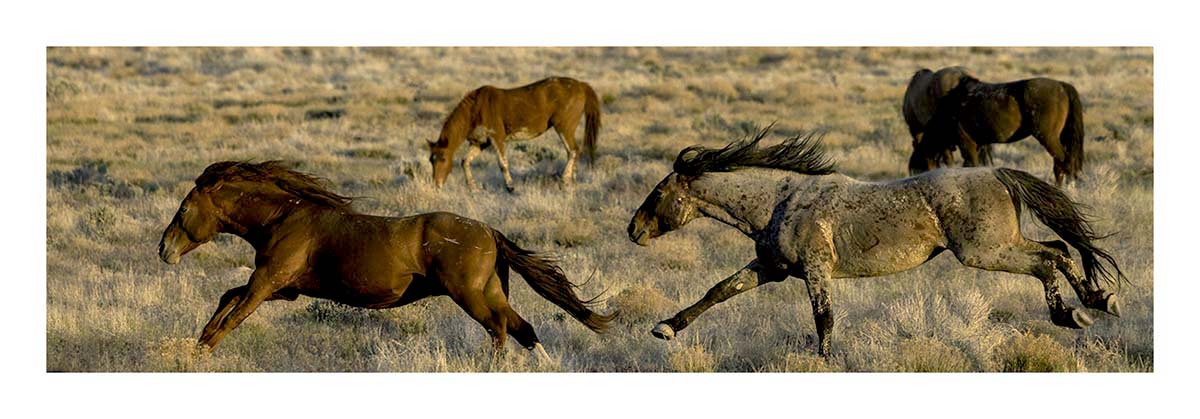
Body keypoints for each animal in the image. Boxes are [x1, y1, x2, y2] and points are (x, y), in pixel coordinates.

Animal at [157, 161, 614, 360]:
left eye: (183, 209)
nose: (164, 250)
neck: (282, 218)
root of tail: (489, 232)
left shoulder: (268, 281)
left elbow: (234, 312)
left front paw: (201, 351)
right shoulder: (284, 289)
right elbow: (227, 297)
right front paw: (199, 340)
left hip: (469, 295)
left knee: (500, 329)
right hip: (492, 291)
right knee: (523, 328)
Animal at [428, 76, 602, 192]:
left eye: (443, 158)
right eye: (431, 160)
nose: (436, 184)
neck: (476, 109)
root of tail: (581, 85)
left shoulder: (496, 137)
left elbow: (502, 163)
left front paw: (510, 187)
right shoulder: (481, 143)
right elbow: (465, 161)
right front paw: (473, 188)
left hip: (564, 127)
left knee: (573, 150)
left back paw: (564, 182)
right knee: (574, 151)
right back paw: (572, 181)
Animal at [627, 127, 1124, 356]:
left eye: (659, 193)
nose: (633, 230)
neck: (779, 201)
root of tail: (997, 172)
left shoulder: (816, 272)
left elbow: (824, 319)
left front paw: (825, 360)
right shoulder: (770, 269)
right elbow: (718, 291)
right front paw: (665, 327)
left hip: (985, 250)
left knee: (1047, 259)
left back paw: (1075, 312)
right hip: (999, 245)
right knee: (1060, 251)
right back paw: (1095, 301)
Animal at [907, 74, 1086, 186]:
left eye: (918, 170)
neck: (952, 107)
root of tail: (1061, 85)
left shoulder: (967, 143)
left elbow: (972, 164)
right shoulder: (979, 145)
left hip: (1048, 137)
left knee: (1064, 162)